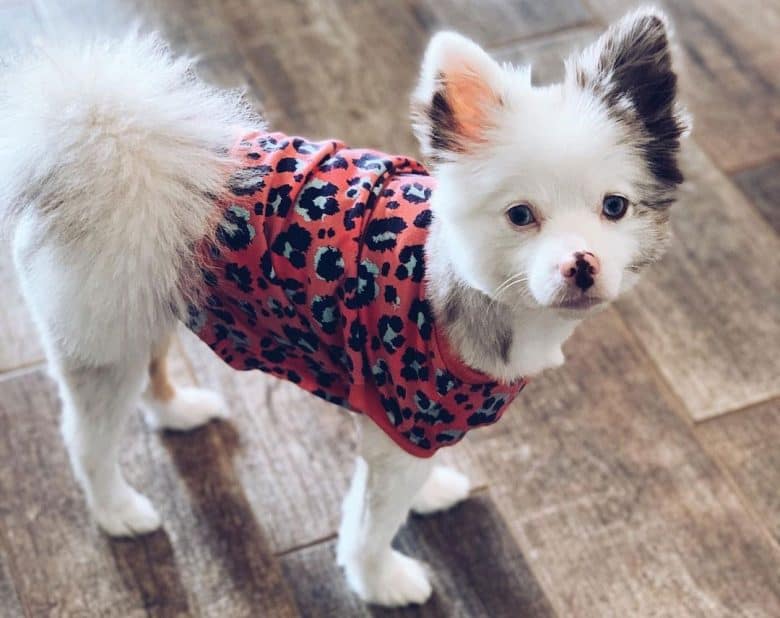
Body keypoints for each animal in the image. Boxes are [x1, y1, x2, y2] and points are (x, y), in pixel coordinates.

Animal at [0, 7, 684, 608]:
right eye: (521, 216)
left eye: (615, 207)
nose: (581, 264)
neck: (471, 289)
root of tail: (102, 133)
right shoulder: (399, 416)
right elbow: (371, 524)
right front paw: (380, 582)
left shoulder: (410, 423)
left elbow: (407, 479)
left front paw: (428, 491)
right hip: (102, 327)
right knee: (87, 437)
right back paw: (116, 510)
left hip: (144, 296)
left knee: (150, 366)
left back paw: (177, 412)